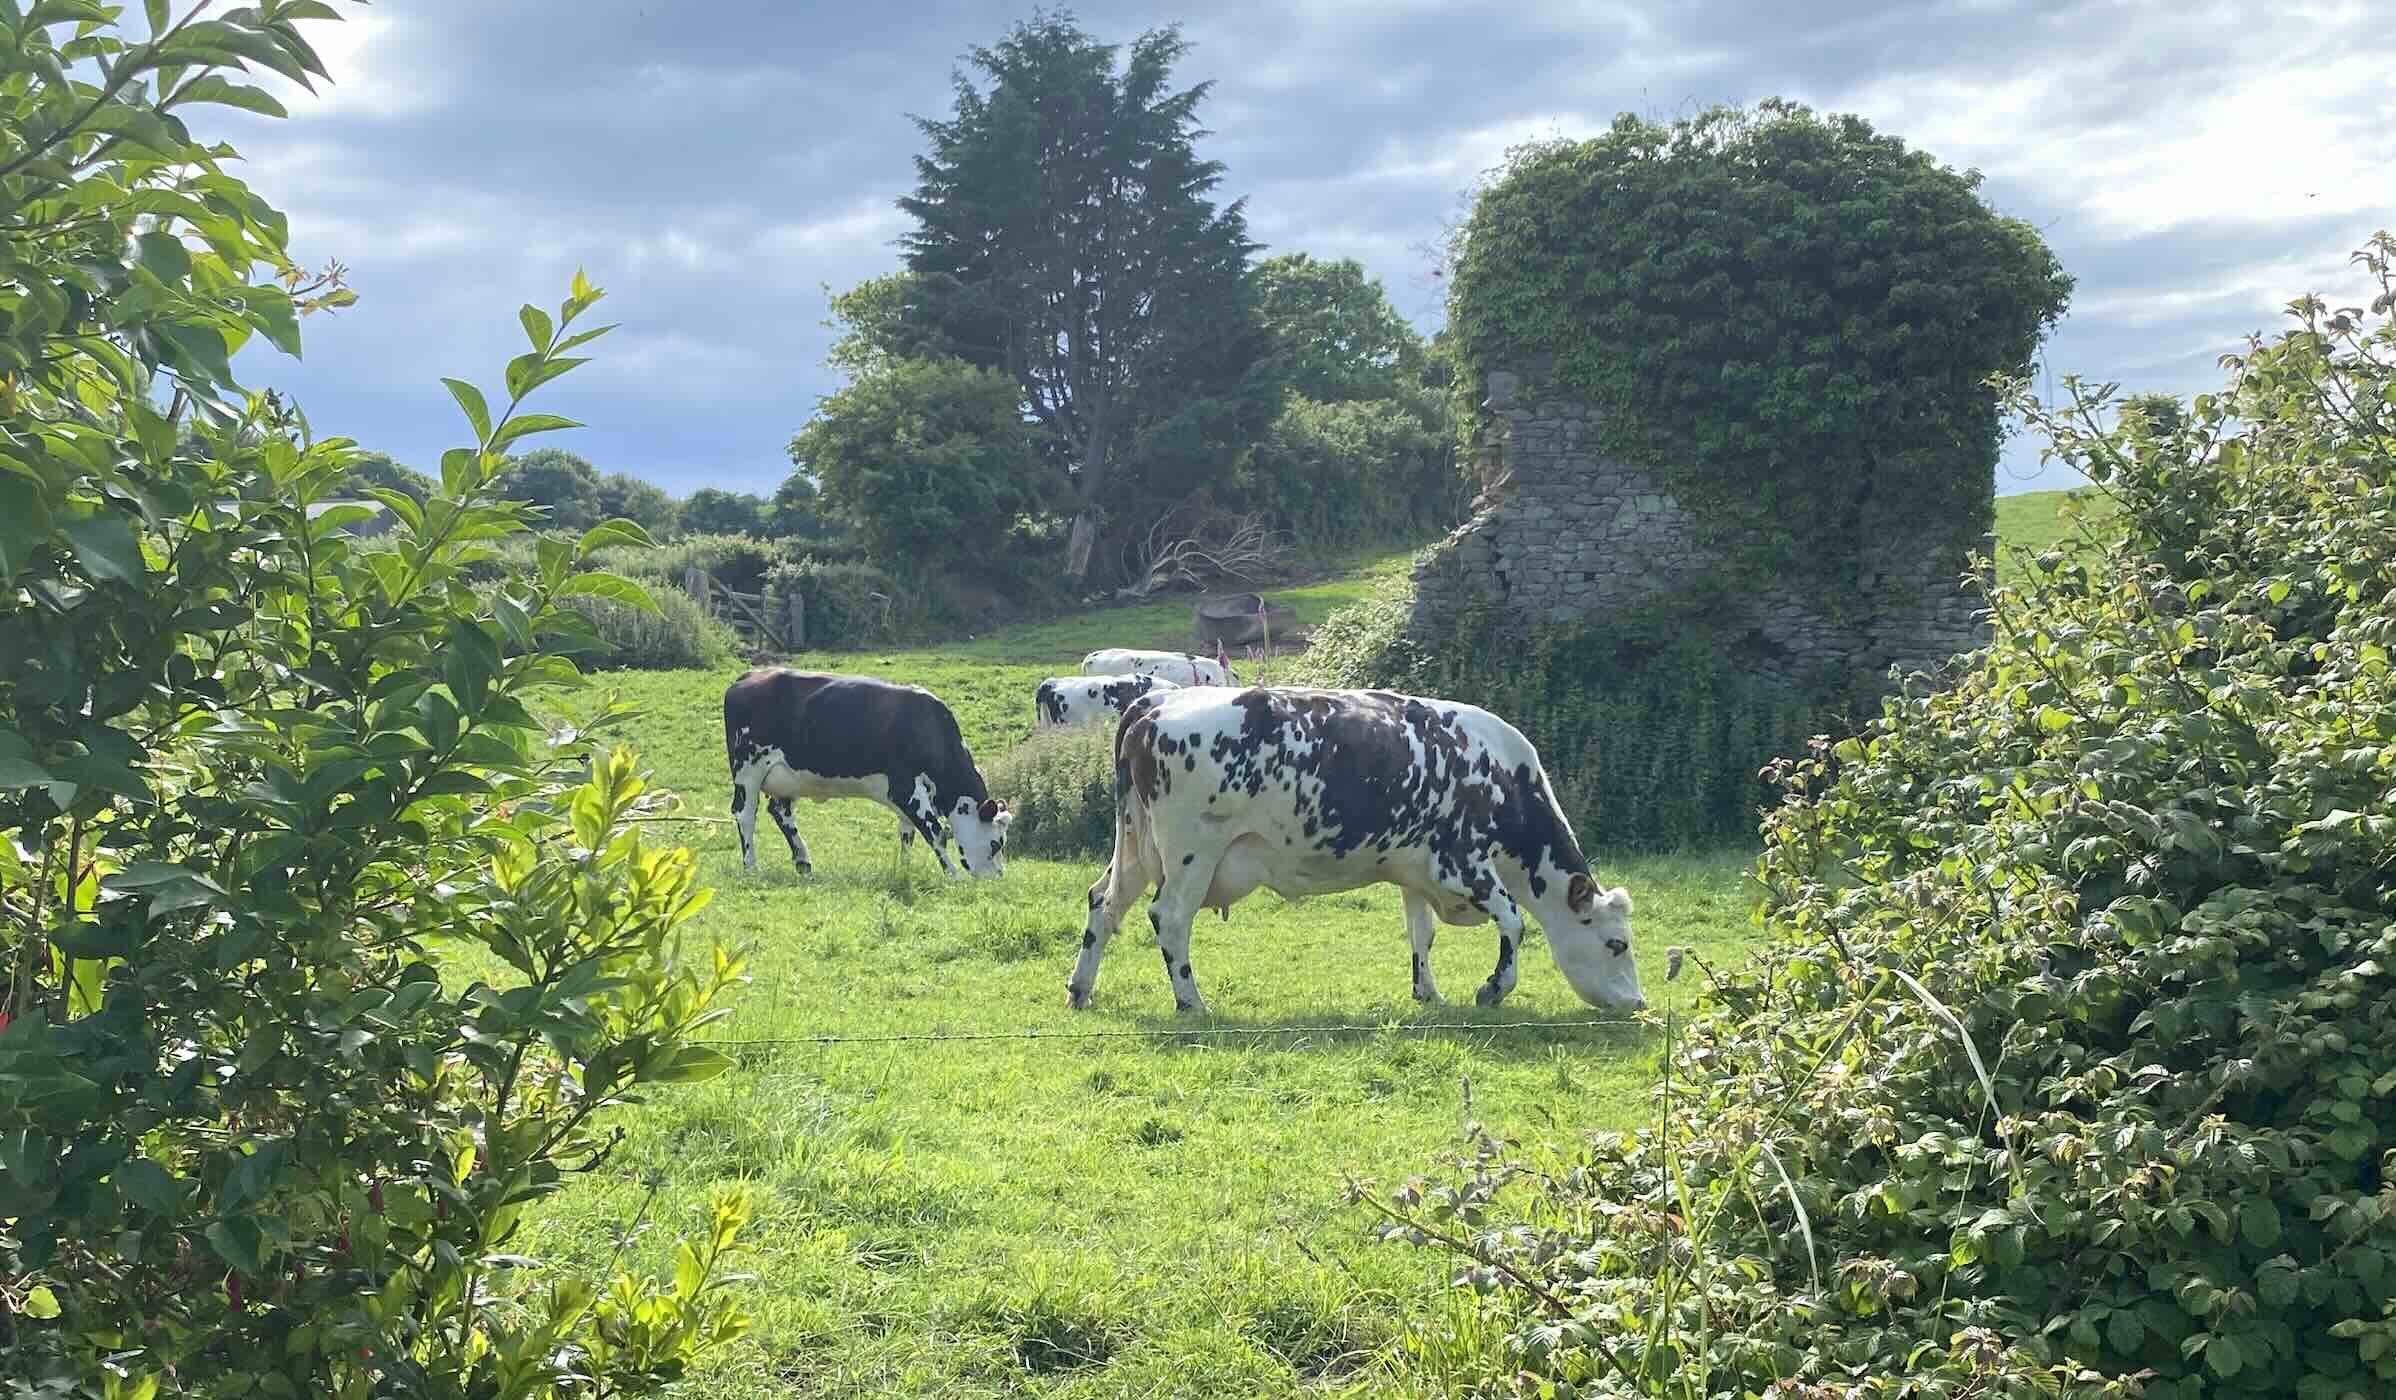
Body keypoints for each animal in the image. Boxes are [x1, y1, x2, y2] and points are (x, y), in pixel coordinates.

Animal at [723, 668, 1011, 879]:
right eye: (996, 843)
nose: (998, 876)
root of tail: (748, 676)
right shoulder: (904, 787)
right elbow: (935, 832)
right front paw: (952, 875)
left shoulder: (908, 797)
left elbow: (907, 834)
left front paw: (905, 870)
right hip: (748, 769)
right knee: (745, 814)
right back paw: (751, 866)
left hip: (786, 778)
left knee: (781, 813)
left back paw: (803, 862)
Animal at [1066, 686, 1643, 1016]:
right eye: (1617, 944)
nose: (1638, 1003)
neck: (1502, 780)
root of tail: (1154, 703)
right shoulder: (1462, 866)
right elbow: (1515, 923)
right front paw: (1492, 990)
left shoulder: (1416, 871)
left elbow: (1421, 934)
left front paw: (1428, 994)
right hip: (1192, 853)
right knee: (1169, 918)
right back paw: (1192, 1003)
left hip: (1134, 844)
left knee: (1103, 902)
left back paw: (1080, 989)